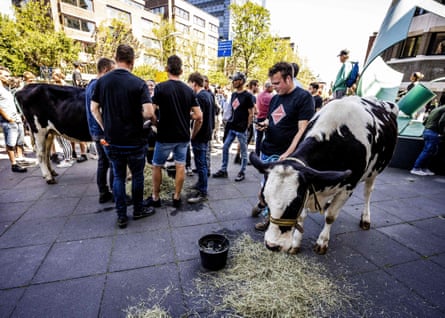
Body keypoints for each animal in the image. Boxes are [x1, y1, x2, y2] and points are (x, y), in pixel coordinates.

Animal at [248, 95, 398, 255]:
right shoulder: (309, 186)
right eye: (266, 201)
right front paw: (296, 243)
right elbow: (302, 217)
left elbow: (330, 216)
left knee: (368, 193)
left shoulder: (348, 186)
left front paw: (322, 242)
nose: (272, 245)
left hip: (374, 172)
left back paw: (365, 219)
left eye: (294, 205)